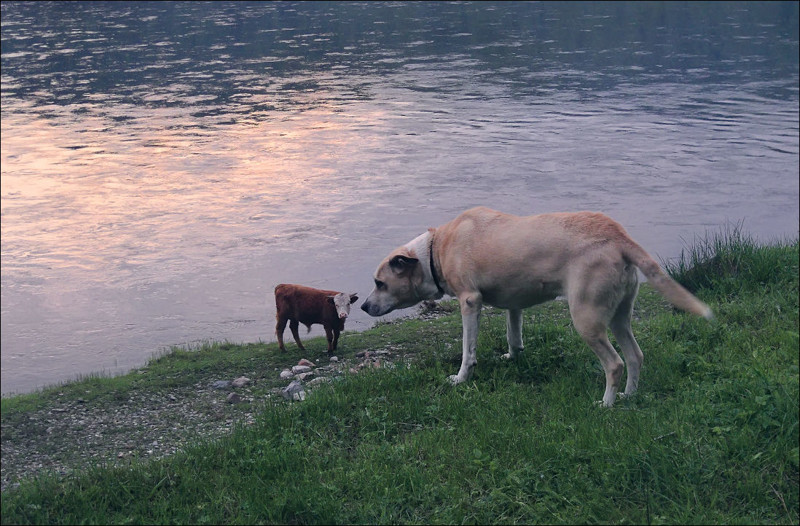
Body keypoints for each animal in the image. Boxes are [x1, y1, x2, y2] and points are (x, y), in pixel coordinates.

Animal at [362, 207, 712, 408]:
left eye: (379, 283)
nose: (363, 305)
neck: (435, 251)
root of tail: (618, 235)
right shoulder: (514, 304)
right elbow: (513, 335)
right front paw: (513, 358)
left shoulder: (470, 302)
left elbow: (467, 351)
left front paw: (461, 378)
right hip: (618, 315)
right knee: (635, 356)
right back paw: (629, 396)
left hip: (587, 319)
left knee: (615, 364)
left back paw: (607, 404)